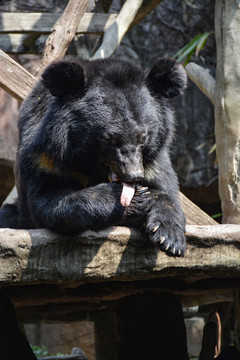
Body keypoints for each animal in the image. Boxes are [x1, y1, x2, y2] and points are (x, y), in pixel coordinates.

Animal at [0, 57, 188, 256]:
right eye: (110, 139)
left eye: (143, 137)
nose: (134, 176)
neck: (89, 164)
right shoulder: (44, 156)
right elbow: (47, 200)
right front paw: (129, 199)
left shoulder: (153, 160)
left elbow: (164, 190)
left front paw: (169, 238)